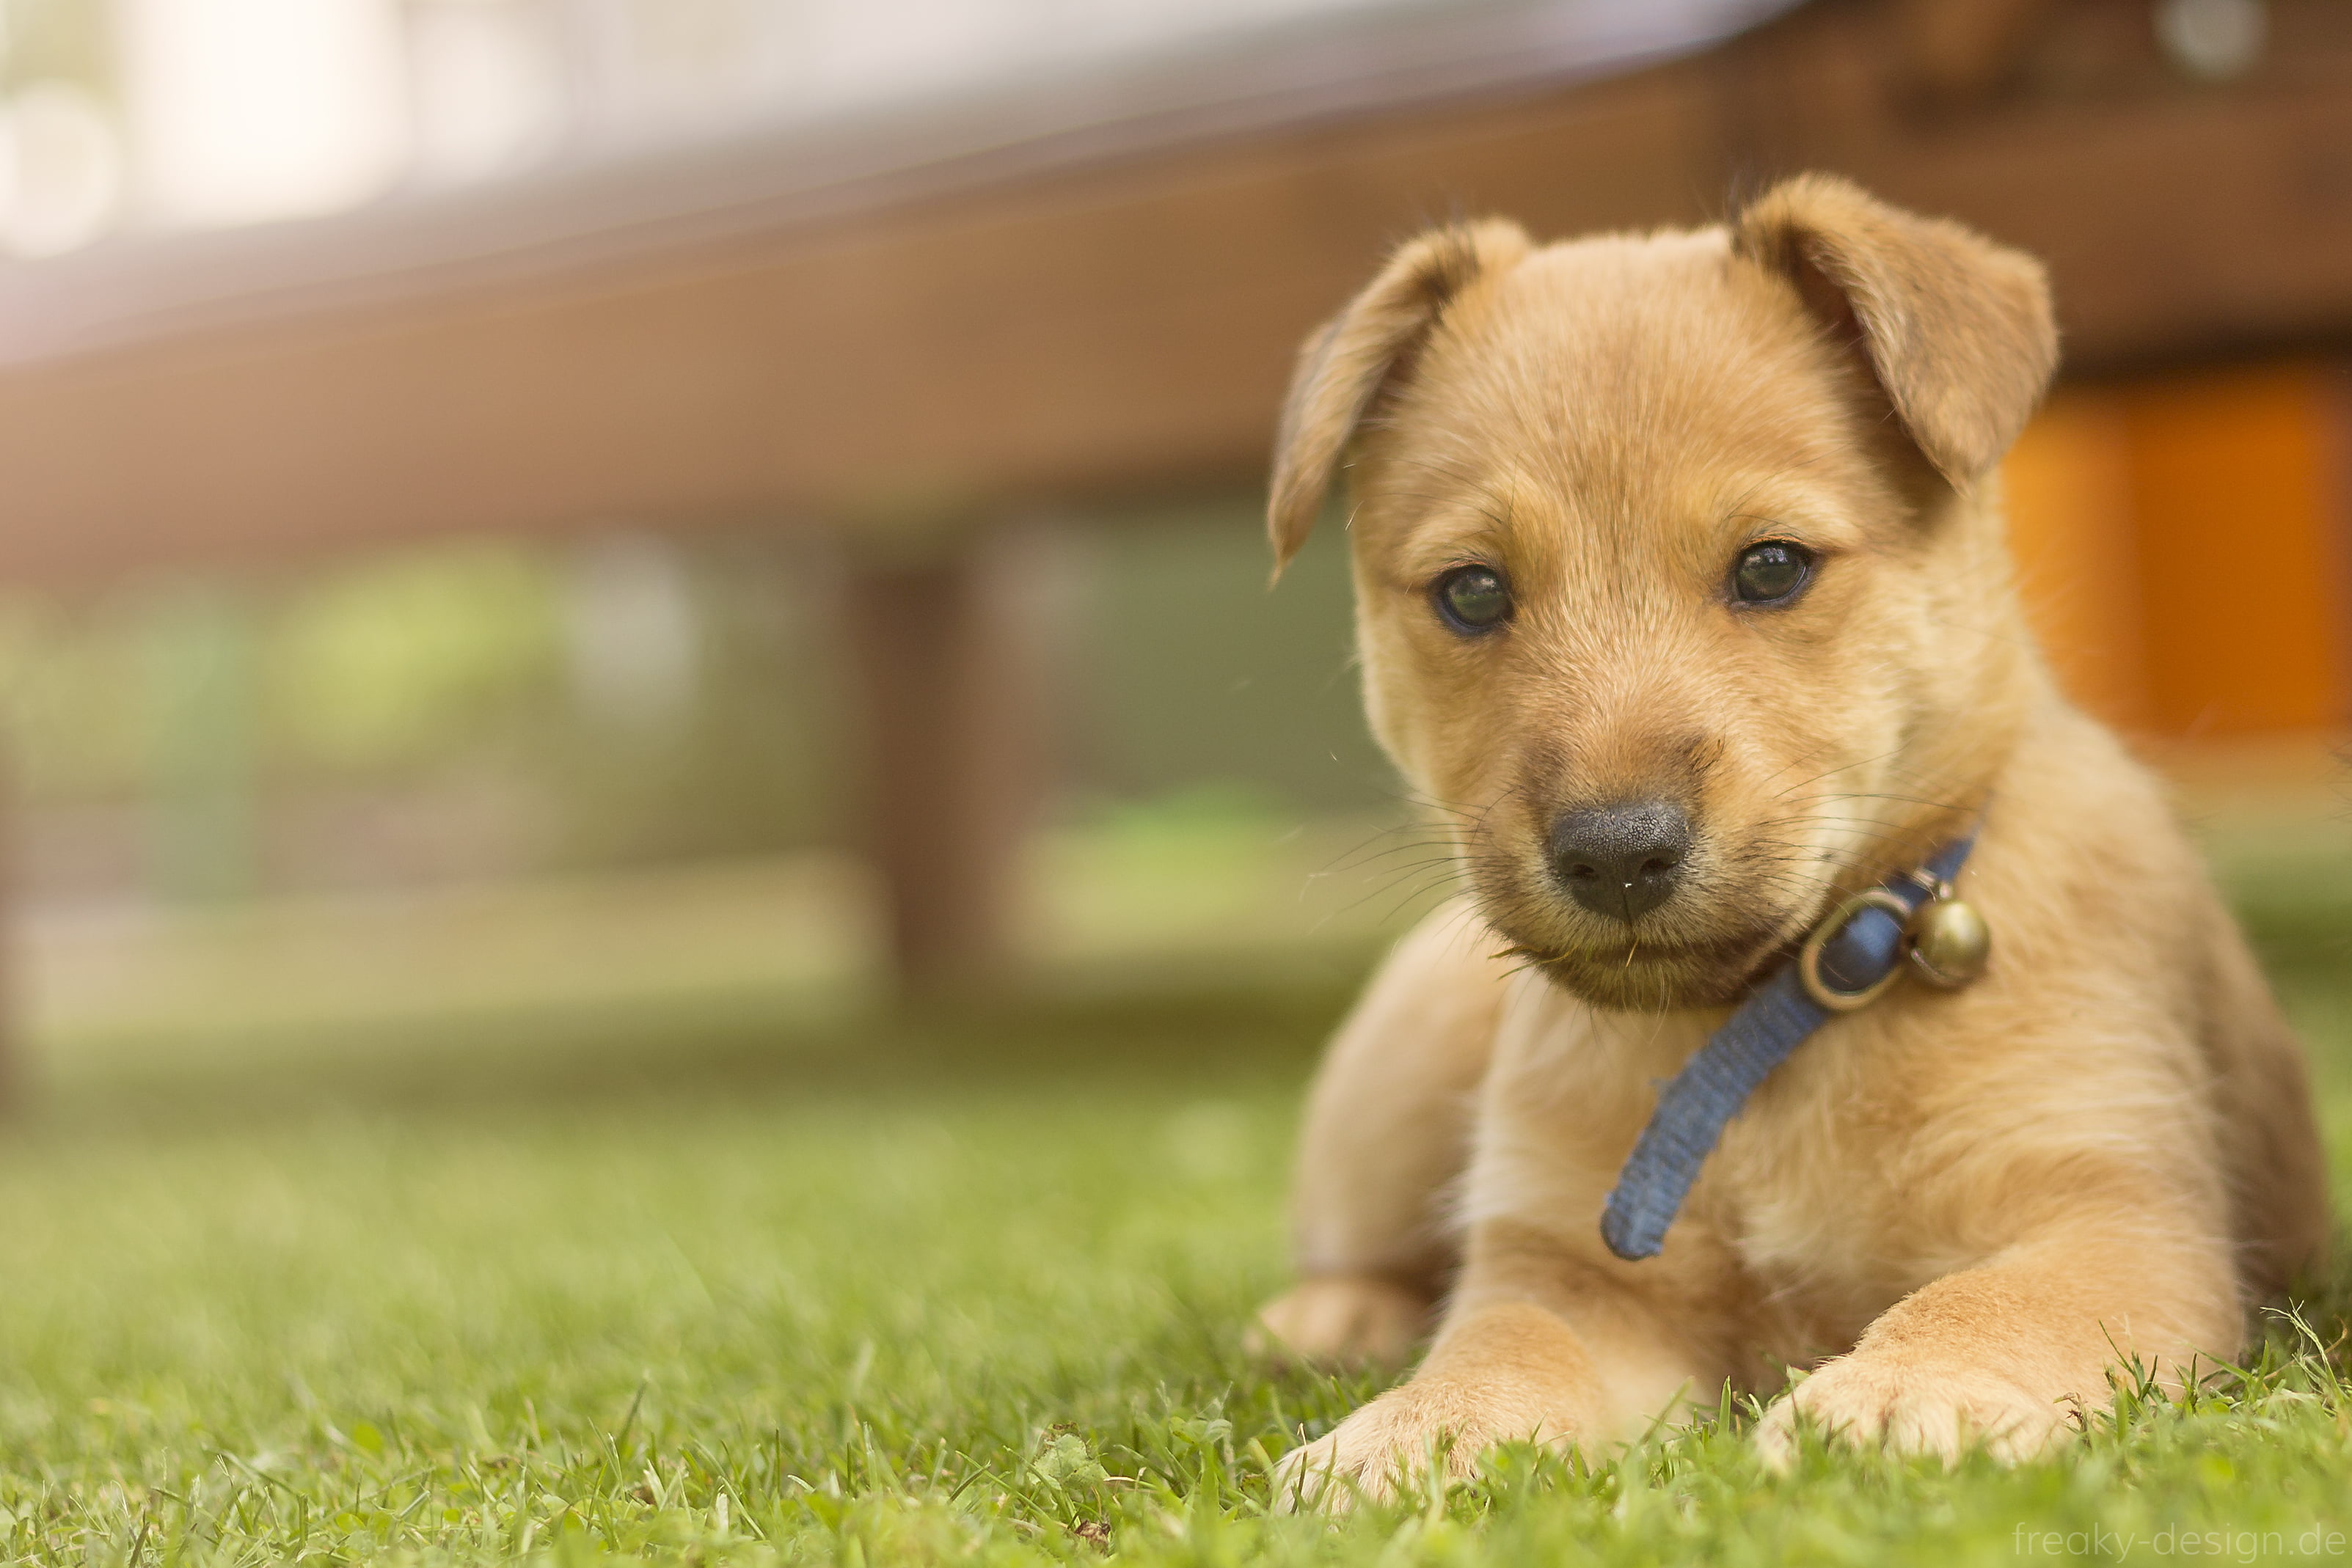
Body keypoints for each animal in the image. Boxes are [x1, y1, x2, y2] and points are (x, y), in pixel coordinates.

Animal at [1251, 169, 2333, 1495]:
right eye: (1470, 591)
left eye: (1771, 566)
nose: (1615, 853)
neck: (1777, 1026)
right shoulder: (1574, 1273)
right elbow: (1503, 1341)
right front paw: (1417, 1427)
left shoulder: (2111, 1211)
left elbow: (1985, 1299)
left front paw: (1904, 1391)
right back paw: (1333, 1318)